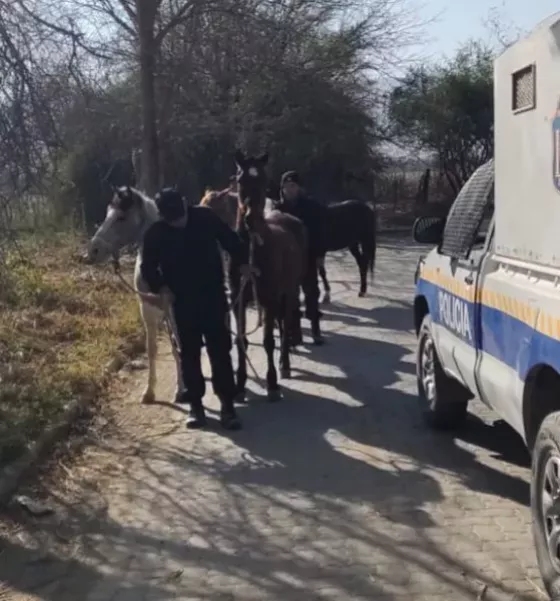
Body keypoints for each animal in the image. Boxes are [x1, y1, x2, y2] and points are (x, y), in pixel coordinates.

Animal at [87, 185, 184, 404]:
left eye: (121, 217)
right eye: (107, 212)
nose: (92, 251)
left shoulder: (174, 311)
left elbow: (179, 345)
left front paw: (181, 389)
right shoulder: (148, 310)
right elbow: (153, 349)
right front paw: (149, 392)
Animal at [231, 148, 308, 400]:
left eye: (264, 180)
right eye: (240, 179)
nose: (250, 219)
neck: (250, 251)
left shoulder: (269, 298)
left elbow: (267, 341)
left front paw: (272, 384)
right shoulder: (238, 300)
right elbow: (241, 339)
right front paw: (239, 384)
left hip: (289, 291)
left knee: (285, 324)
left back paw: (285, 365)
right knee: (282, 323)